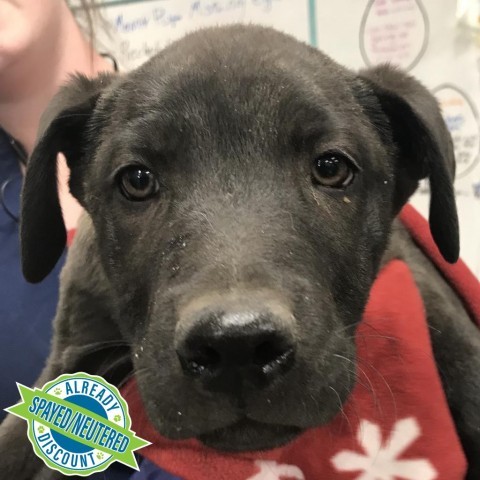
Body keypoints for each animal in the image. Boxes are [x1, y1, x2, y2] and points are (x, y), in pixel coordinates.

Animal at [0, 26, 480, 480]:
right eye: (136, 179)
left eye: (331, 168)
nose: (237, 348)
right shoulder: (74, 346)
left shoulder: (417, 274)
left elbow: (463, 354)